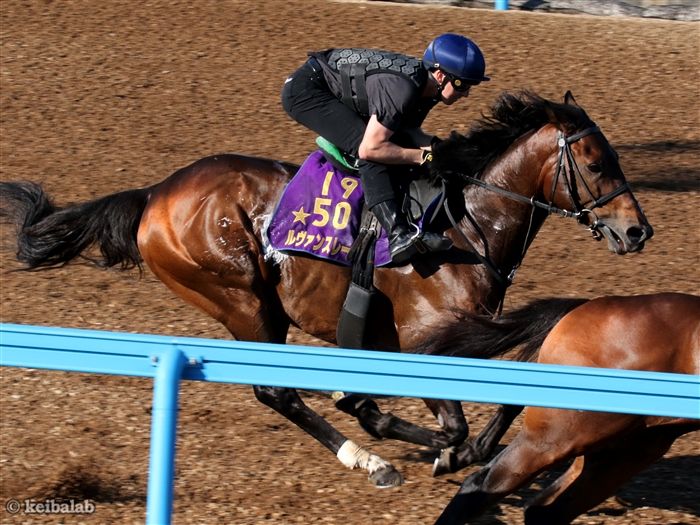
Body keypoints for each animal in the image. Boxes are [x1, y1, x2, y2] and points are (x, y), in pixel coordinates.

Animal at [0, 91, 653, 487]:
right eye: (596, 163)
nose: (637, 230)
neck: (463, 228)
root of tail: (156, 194)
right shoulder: (426, 342)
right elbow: (456, 428)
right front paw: (433, 445)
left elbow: (508, 400)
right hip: (243, 300)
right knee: (276, 392)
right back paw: (369, 460)